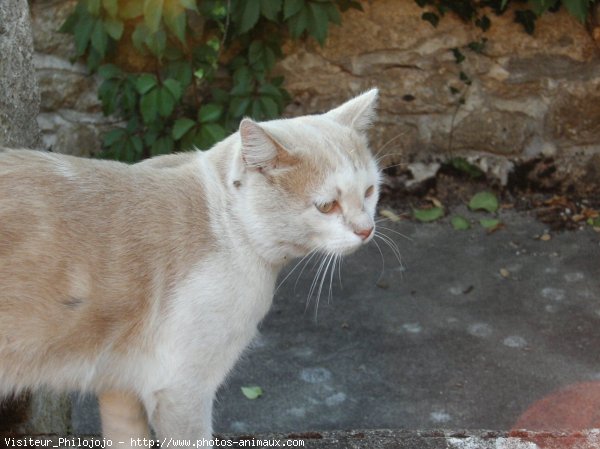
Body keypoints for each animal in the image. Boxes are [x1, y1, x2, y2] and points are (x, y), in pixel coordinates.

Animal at [1, 89, 380, 442]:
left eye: (370, 192)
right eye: (327, 206)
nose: (367, 229)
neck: (226, 224)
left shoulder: (120, 385)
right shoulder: (181, 390)